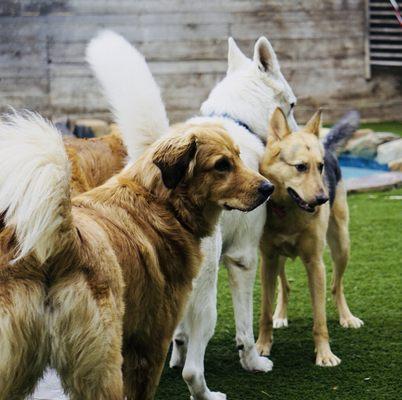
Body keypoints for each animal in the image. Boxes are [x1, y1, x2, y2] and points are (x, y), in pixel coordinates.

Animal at [0, 113, 274, 400]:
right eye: (222, 165)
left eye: (238, 157)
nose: (269, 188)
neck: (159, 202)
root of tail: (62, 243)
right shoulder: (151, 341)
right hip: (104, 370)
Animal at [258, 108, 364, 368]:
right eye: (300, 167)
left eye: (320, 166)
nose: (323, 199)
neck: (288, 211)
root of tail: (326, 144)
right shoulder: (267, 260)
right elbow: (264, 312)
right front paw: (262, 346)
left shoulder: (315, 263)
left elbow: (320, 320)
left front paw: (324, 354)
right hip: (279, 260)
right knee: (284, 286)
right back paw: (280, 315)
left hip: (342, 246)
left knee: (337, 286)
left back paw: (347, 317)